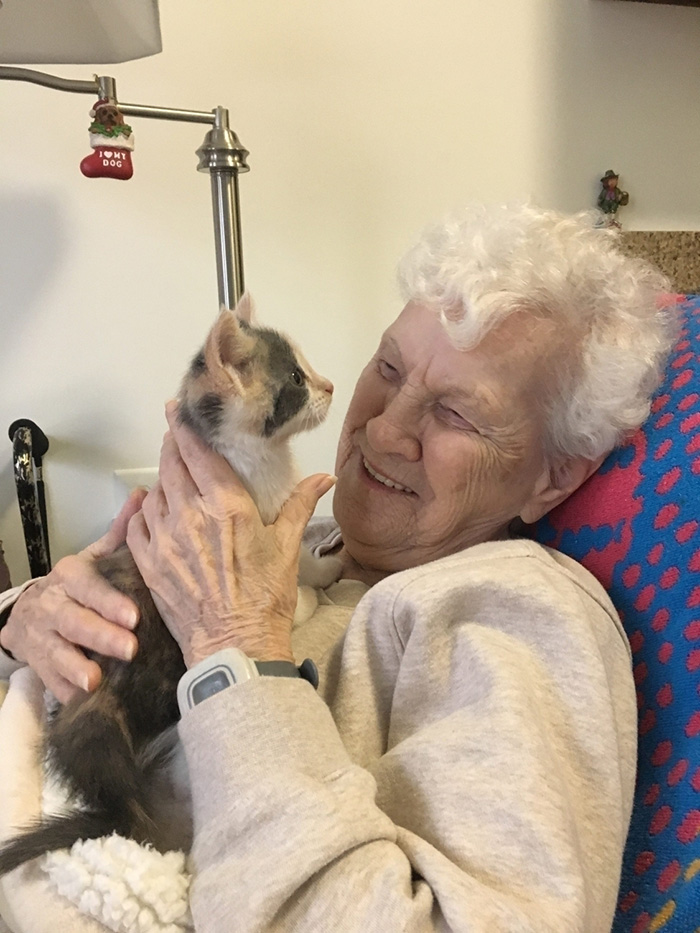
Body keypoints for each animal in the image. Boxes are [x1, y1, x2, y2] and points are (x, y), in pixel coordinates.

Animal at [0, 296, 340, 872]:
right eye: (295, 378)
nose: (332, 385)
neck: (261, 459)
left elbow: (299, 558)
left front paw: (324, 569)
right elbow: (287, 572)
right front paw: (305, 597)